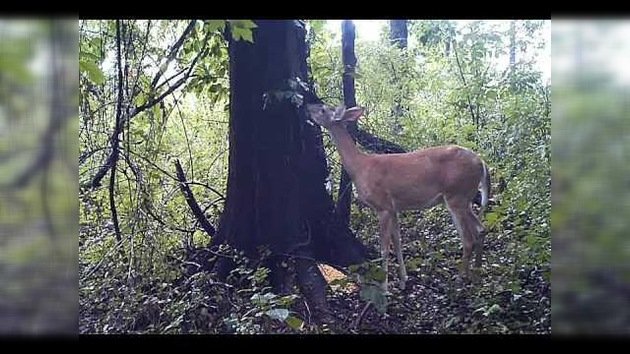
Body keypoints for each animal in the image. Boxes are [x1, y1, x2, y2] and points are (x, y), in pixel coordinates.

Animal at [308, 103, 494, 292]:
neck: (360, 167)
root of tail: (482, 162)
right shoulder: (393, 208)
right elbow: (397, 242)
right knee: (480, 229)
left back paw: (459, 281)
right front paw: (403, 280)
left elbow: (384, 247)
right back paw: (476, 275)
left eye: (323, 109)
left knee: (468, 239)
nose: (308, 106)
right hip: (465, 198)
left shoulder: (382, 205)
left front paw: (384, 287)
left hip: (456, 195)